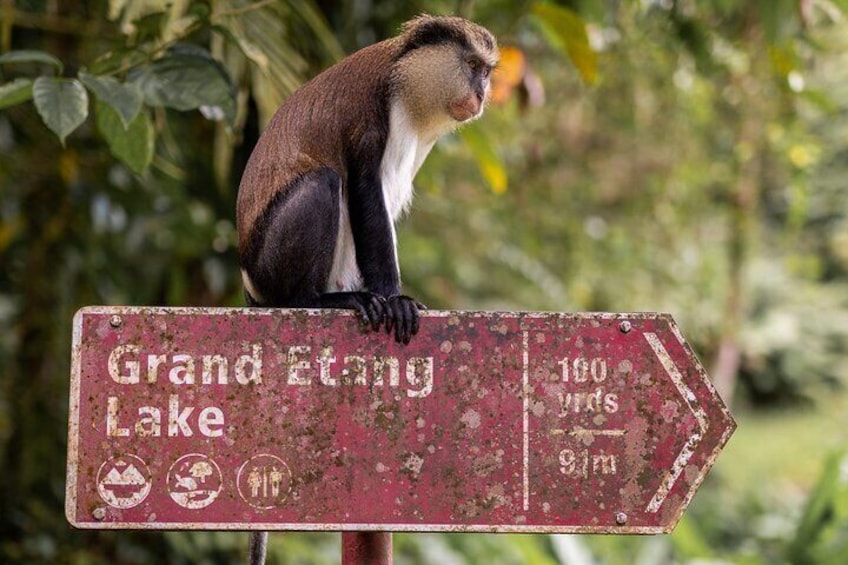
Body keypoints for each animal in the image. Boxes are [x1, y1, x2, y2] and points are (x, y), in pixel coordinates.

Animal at [235, 16, 500, 344]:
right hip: (268, 267)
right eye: (472, 64)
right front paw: (395, 299)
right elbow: (367, 195)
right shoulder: (372, 117)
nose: (480, 94)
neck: (405, 78)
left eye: (486, 72)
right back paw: (311, 300)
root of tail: (250, 285)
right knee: (322, 182)